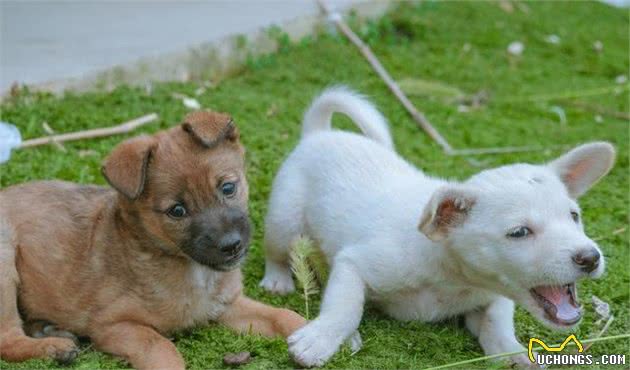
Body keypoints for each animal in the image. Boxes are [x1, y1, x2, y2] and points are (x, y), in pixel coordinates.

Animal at [0, 111, 308, 368]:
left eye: (228, 188)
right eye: (177, 211)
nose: (232, 246)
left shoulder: (227, 305)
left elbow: (284, 315)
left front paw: (312, 337)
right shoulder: (113, 325)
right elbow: (161, 348)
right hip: (5, 268)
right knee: (7, 341)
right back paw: (54, 347)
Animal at [262, 87, 616, 368]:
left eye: (574, 216)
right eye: (519, 232)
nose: (590, 258)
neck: (452, 275)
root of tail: (320, 133)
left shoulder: (493, 297)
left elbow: (498, 323)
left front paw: (514, 353)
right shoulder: (354, 263)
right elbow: (345, 306)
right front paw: (320, 339)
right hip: (284, 221)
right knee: (277, 252)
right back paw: (278, 281)